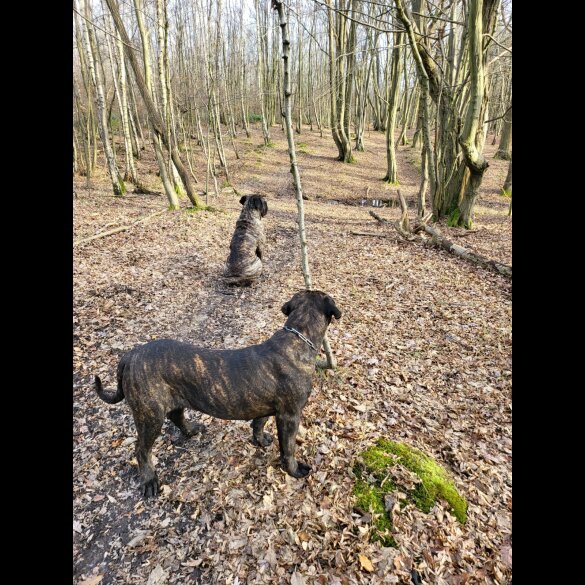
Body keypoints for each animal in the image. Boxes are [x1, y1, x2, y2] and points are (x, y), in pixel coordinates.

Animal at [94, 290, 342, 496]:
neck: (298, 337)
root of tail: (130, 356)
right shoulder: (290, 415)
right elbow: (288, 447)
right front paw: (294, 469)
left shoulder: (265, 405)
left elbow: (259, 422)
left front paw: (260, 440)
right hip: (150, 416)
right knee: (141, 450)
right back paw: (149, 480)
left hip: (173, 400)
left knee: (176, 416)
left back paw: (191, 430)